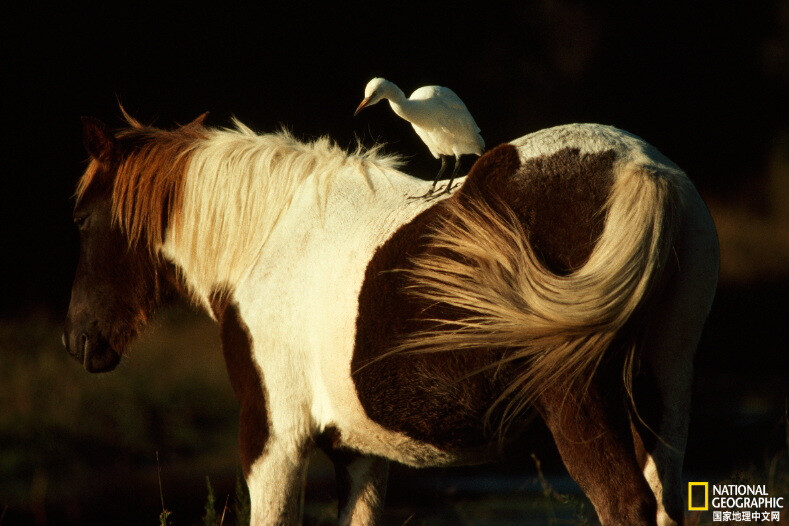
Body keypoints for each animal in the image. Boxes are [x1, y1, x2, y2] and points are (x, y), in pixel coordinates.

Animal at [66, 112, 720, 526]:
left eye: (81, 219)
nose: (78, 340)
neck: (268, 238)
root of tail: (643, 168)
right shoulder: (360, 453)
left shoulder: (274, 438)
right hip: (665, 391)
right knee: (666, 501)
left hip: (579, 402)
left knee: (626, 504)